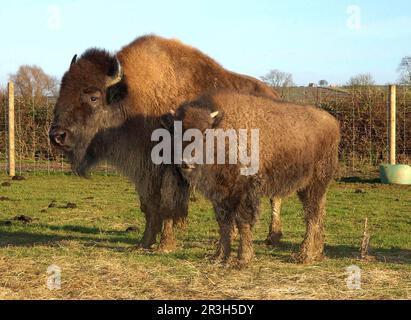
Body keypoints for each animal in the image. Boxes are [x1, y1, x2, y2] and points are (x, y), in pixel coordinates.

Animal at [49, 34, 284, 250]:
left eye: (93, 97)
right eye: (63, 89)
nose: (57, 135)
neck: (132, 97)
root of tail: (275, 95)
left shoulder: (171, 170)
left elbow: (168, 205)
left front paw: (165, 245)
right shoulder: (144, 170)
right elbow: (150, 206)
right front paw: (144, 242)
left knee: (275, 196)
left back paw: (272, 237)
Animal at [161, 90, 342, 264]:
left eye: (205, 133)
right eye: (175, 132)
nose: (186, 162)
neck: (222, 131)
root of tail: (332, 122)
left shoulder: (244, 193)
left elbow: (243, 222)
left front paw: (243, 258)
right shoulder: (220, 194)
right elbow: (224, 223)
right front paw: (219, 256)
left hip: (314, 184)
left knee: (312, 215)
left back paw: (304, 255)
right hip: (312, 187)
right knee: (320, 213)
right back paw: (317, 252)